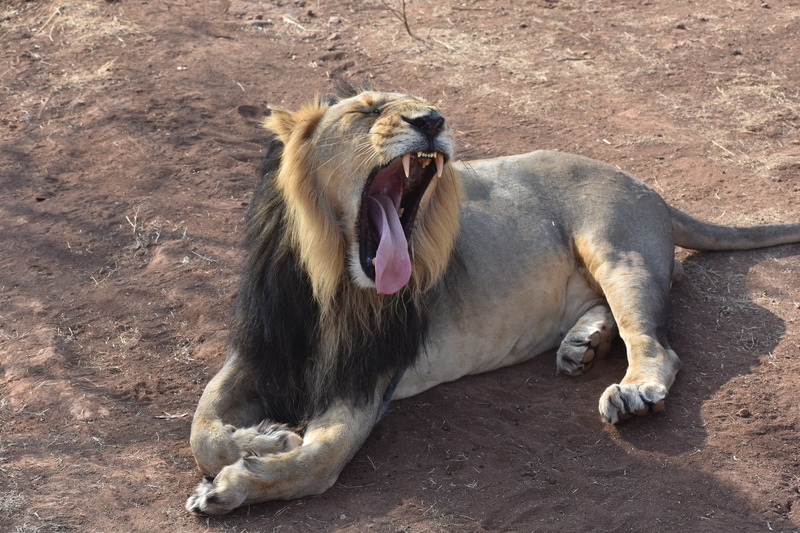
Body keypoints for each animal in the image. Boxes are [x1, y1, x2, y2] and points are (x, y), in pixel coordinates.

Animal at [185, 80, 800, 515]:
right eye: (365, 111)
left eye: (426, 107)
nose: (432, 120)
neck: (330, 281)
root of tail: (649, 186)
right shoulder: (259, 348)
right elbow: (202, 428)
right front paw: (261, 436)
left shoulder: (368, 379)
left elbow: (318, 461)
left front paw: (237, 480)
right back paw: (582, 344)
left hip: (618, 251)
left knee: (654, 344)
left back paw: (631, 391)